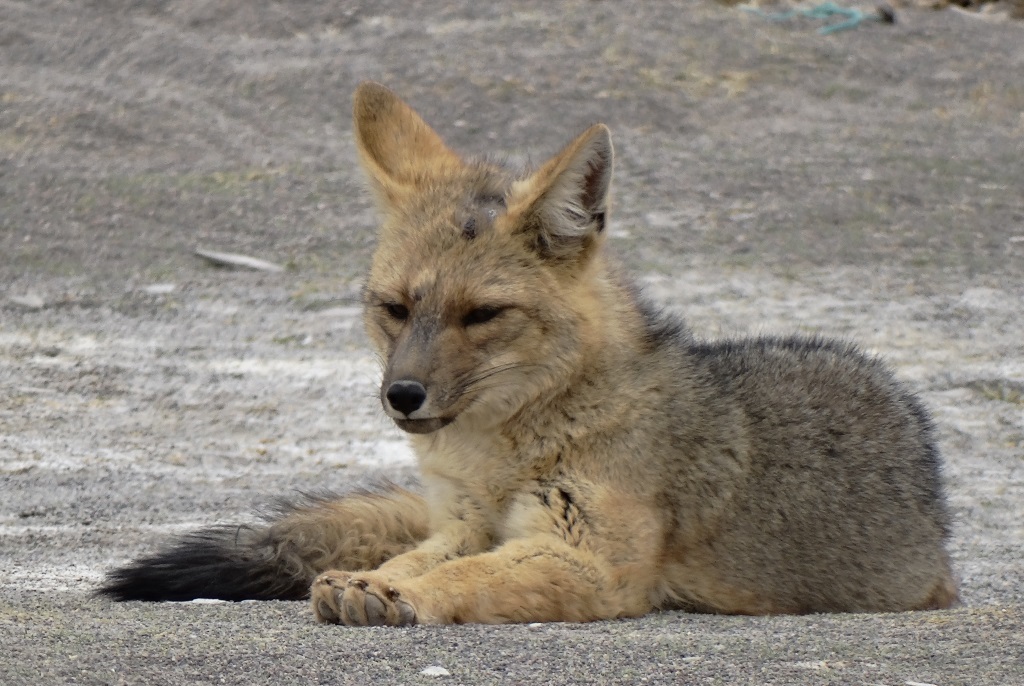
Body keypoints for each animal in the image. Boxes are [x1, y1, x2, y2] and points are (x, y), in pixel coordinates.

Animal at [99, 82, 958, 625]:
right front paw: (371, 582)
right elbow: (416, 558)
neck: (496, 458)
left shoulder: (587, 562)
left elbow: (466, 576)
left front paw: (406, 600)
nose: (401, 396)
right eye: (394, 308)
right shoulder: (463, 523)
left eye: (482, 315)